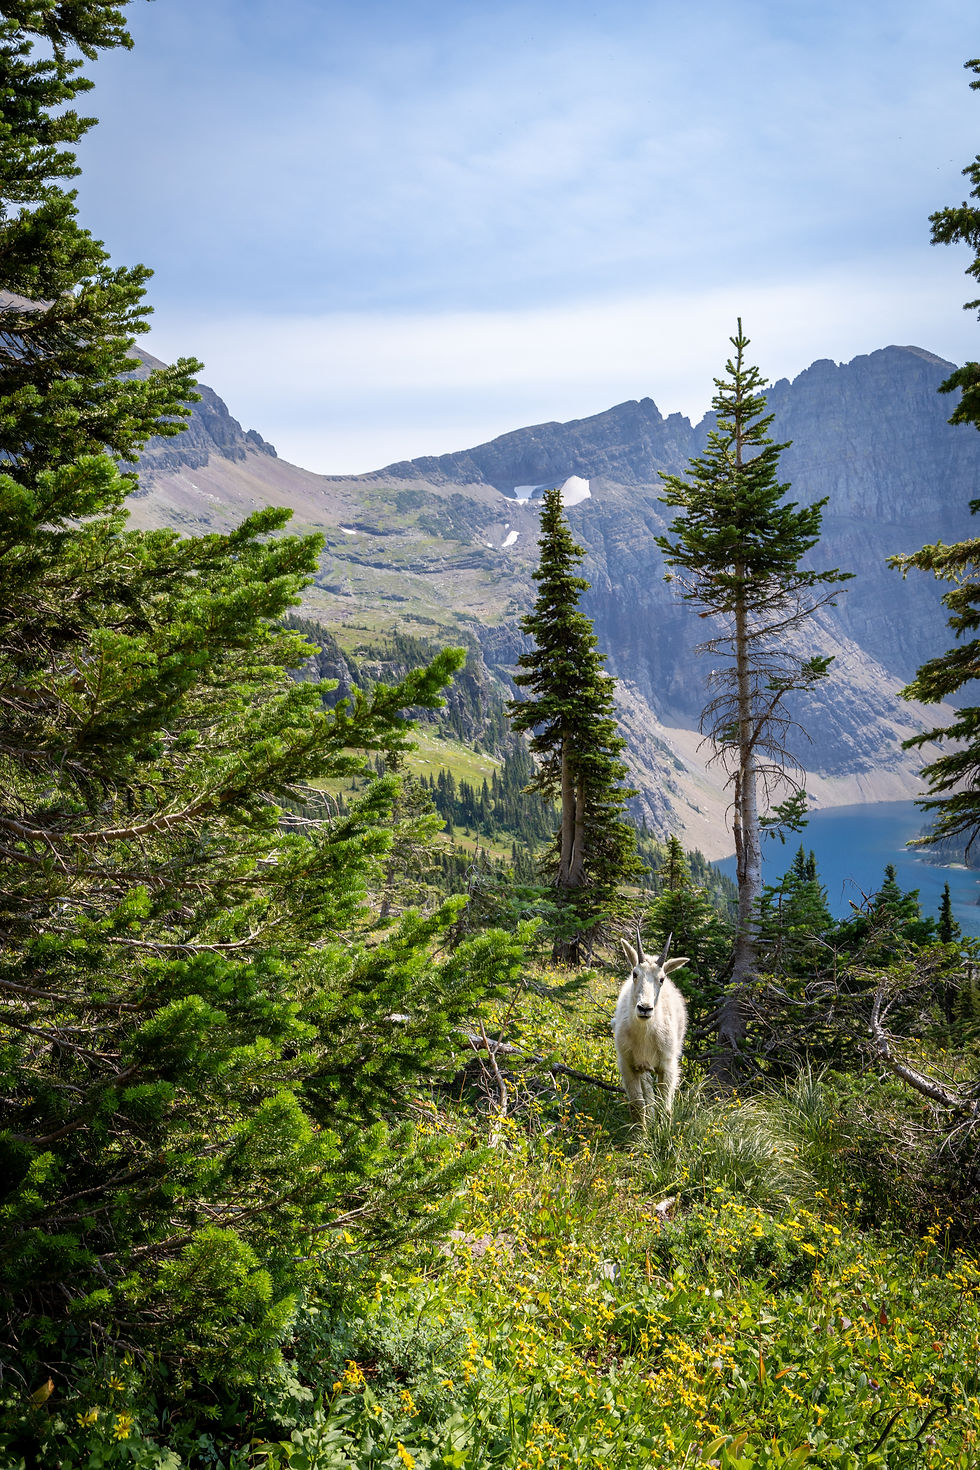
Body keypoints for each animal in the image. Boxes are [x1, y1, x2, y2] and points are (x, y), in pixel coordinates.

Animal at [613, 929, 689, 1123]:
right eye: (635, 973)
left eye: (661, 979)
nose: (645, 1008)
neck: (645, 1033)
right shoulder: (629, 1065)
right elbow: (638, 1106)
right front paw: (643, 1131)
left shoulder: (668, 1066)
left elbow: (666, 1108)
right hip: (643, 1069)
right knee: (648, 1095)